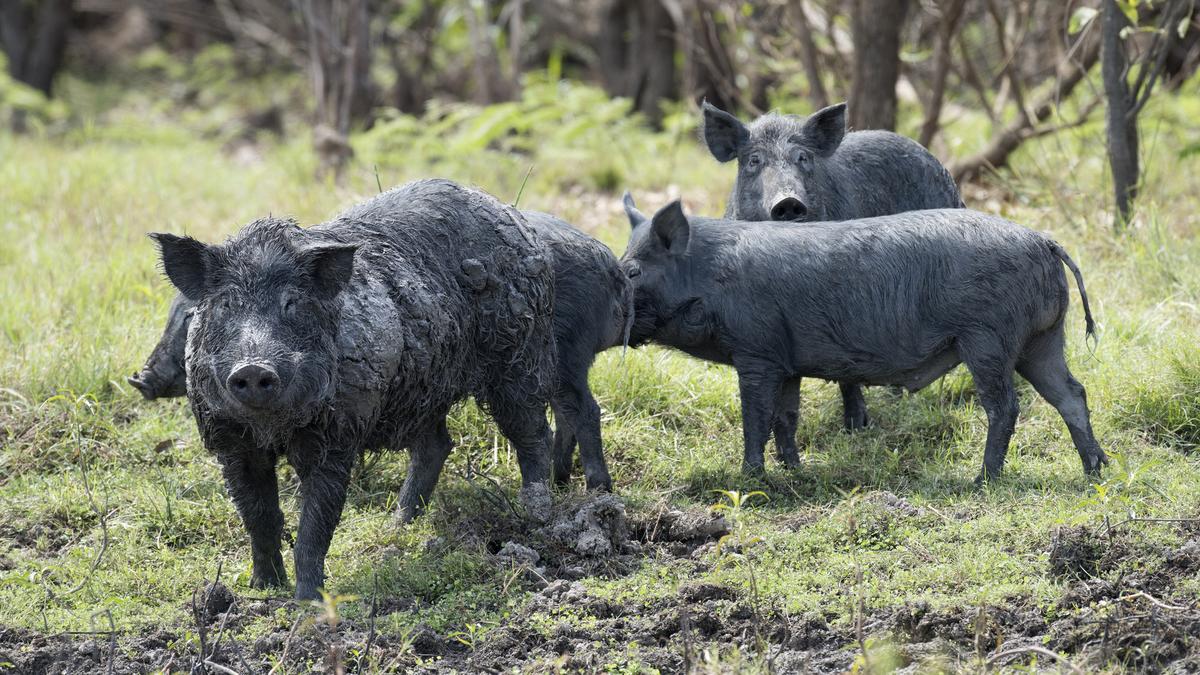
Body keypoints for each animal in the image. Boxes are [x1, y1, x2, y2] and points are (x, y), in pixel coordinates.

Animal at [131, 210, 630, 493]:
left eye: (189, 318)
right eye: (207, 312)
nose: (140, 379)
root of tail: (610, 263)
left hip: (549, 358)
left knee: (577, 411)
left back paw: (589, 493)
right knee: (442, 443)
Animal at [150, 179, 557, 600]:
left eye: (292, 303)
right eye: (226, 304)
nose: (253, 367)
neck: (273, 429)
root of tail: (511, 215)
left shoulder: (337, 436)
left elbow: (315, 525)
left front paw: (308, 601)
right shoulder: (230, 442)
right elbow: (259, 518)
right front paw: (263, 588)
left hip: (518, 354)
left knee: (533, 432)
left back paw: (537, 516)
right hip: (424, 390)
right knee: (437, 445)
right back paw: (400, 526)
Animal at [621, 196, 1107, 484]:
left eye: (633, 270)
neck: (708, 278)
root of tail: (1043, 241)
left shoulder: (756, 352)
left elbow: (755, 418)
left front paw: (750, 479)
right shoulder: (786, 361)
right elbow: (786, 418)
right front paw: (796, 472)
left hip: (988, 338)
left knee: (1005, 406)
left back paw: (982, 480)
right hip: (1041, 340)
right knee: (1072, 394)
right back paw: (1096, 470)